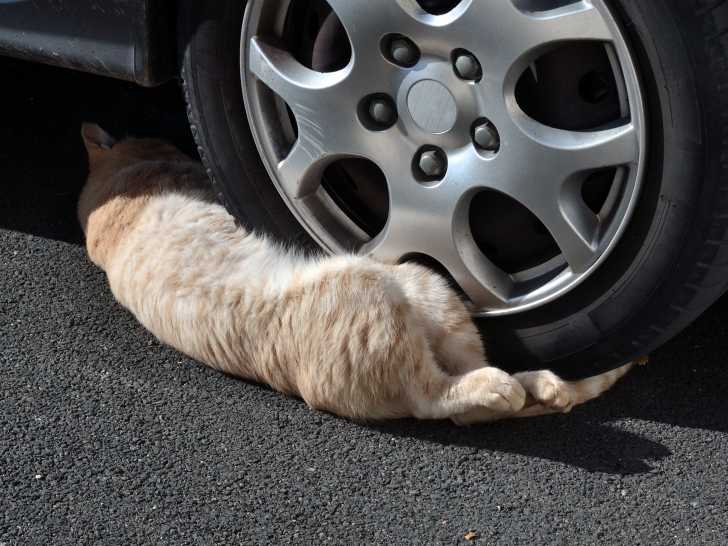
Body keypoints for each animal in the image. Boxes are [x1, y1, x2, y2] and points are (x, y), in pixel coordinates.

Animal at [77, 123, 640, 425]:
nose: (178, 146)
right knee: (443, 398)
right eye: (164, 145)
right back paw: (511, 387)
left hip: (424, 294)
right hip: (392, 291)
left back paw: (545, 385)